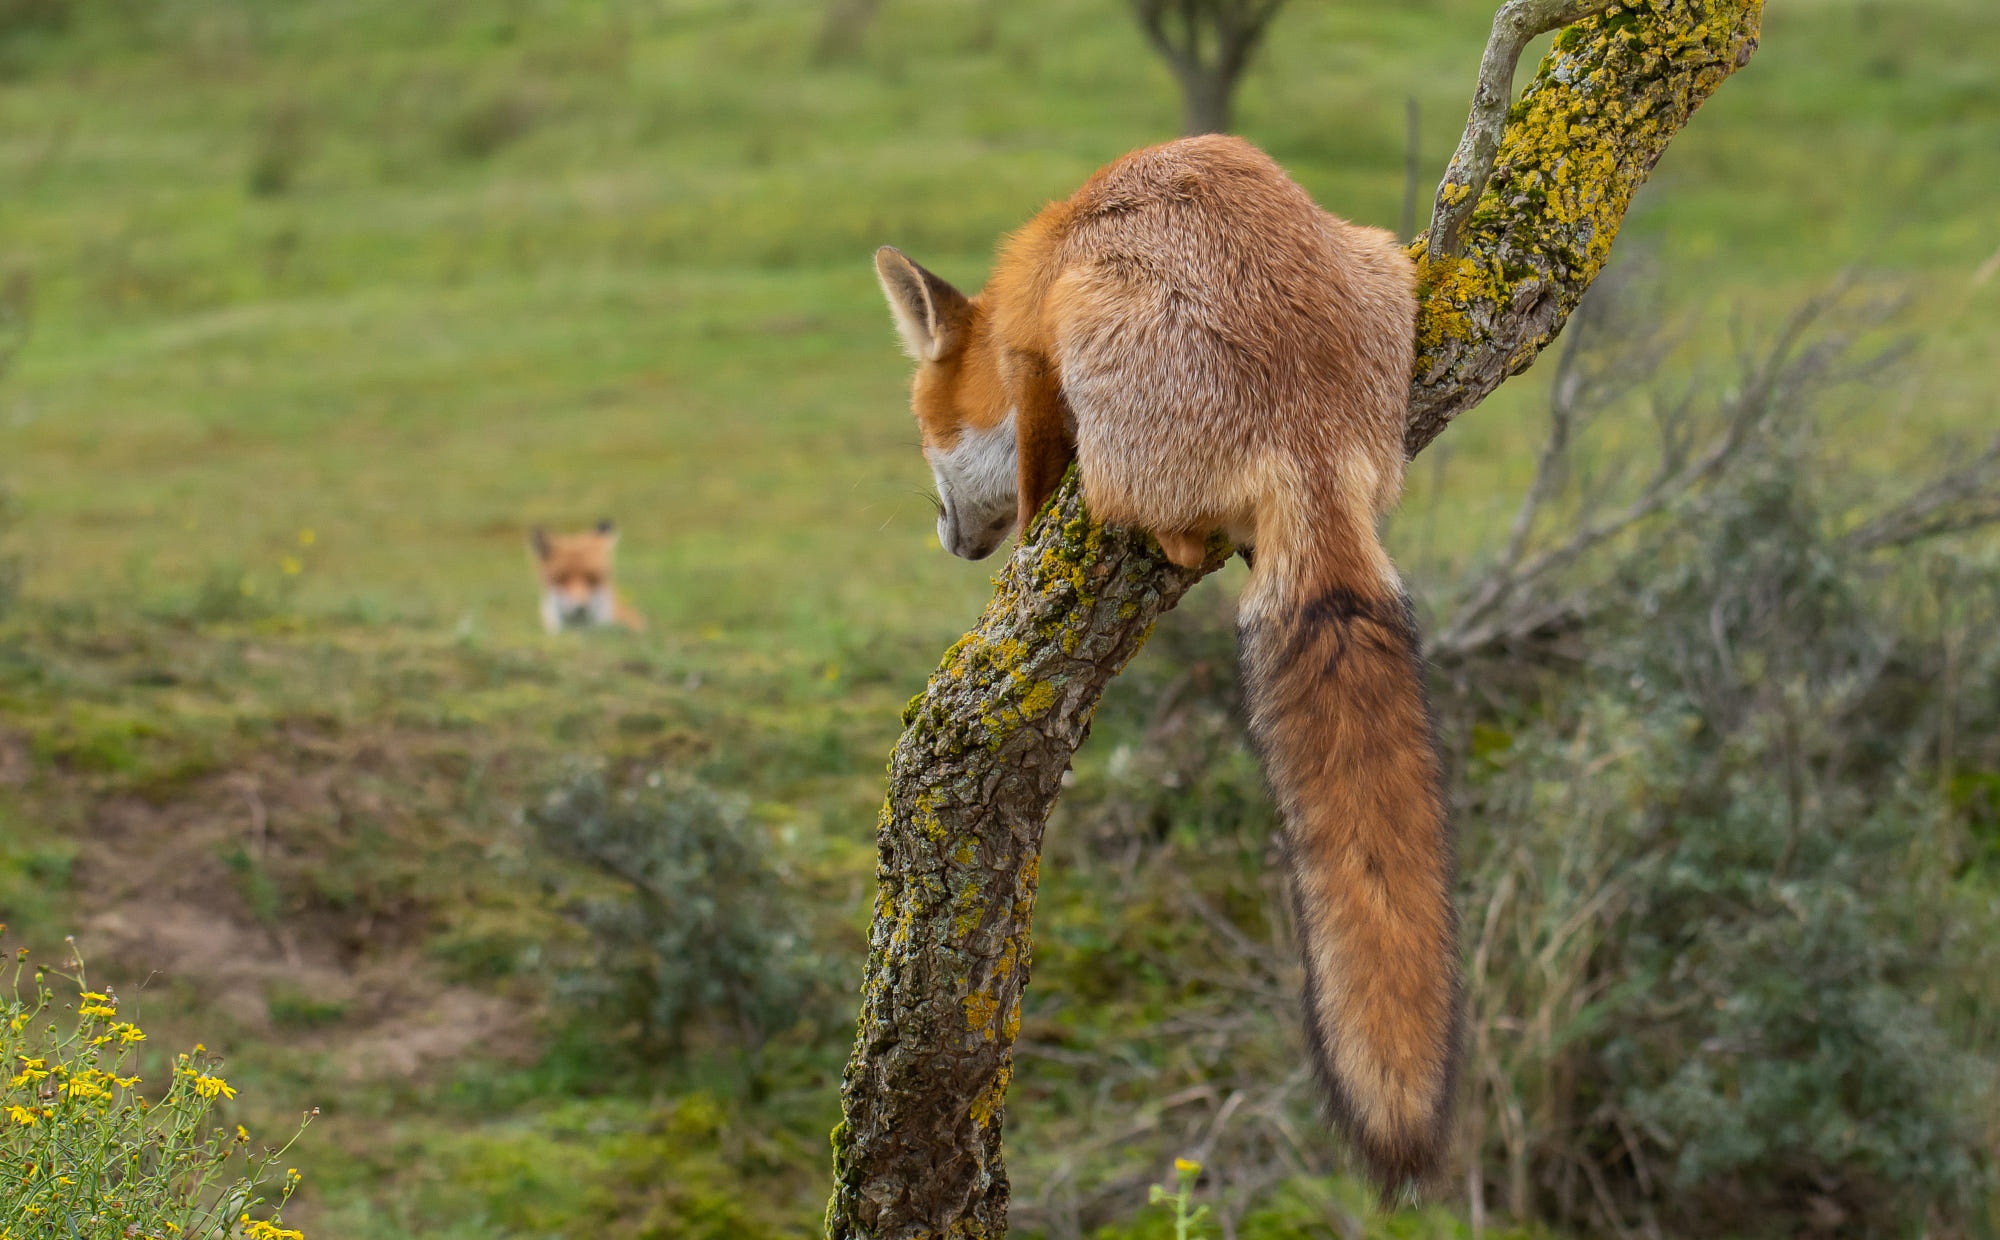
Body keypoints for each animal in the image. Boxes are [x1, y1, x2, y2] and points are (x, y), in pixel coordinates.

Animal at [872, 133, 1456, 1192]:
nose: (946, 540)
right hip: (1381, 258)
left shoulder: (1033, 356)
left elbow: (1037, 467)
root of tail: (1305, 442)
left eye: (925, 434)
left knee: (1153, 521)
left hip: (1102, 321)